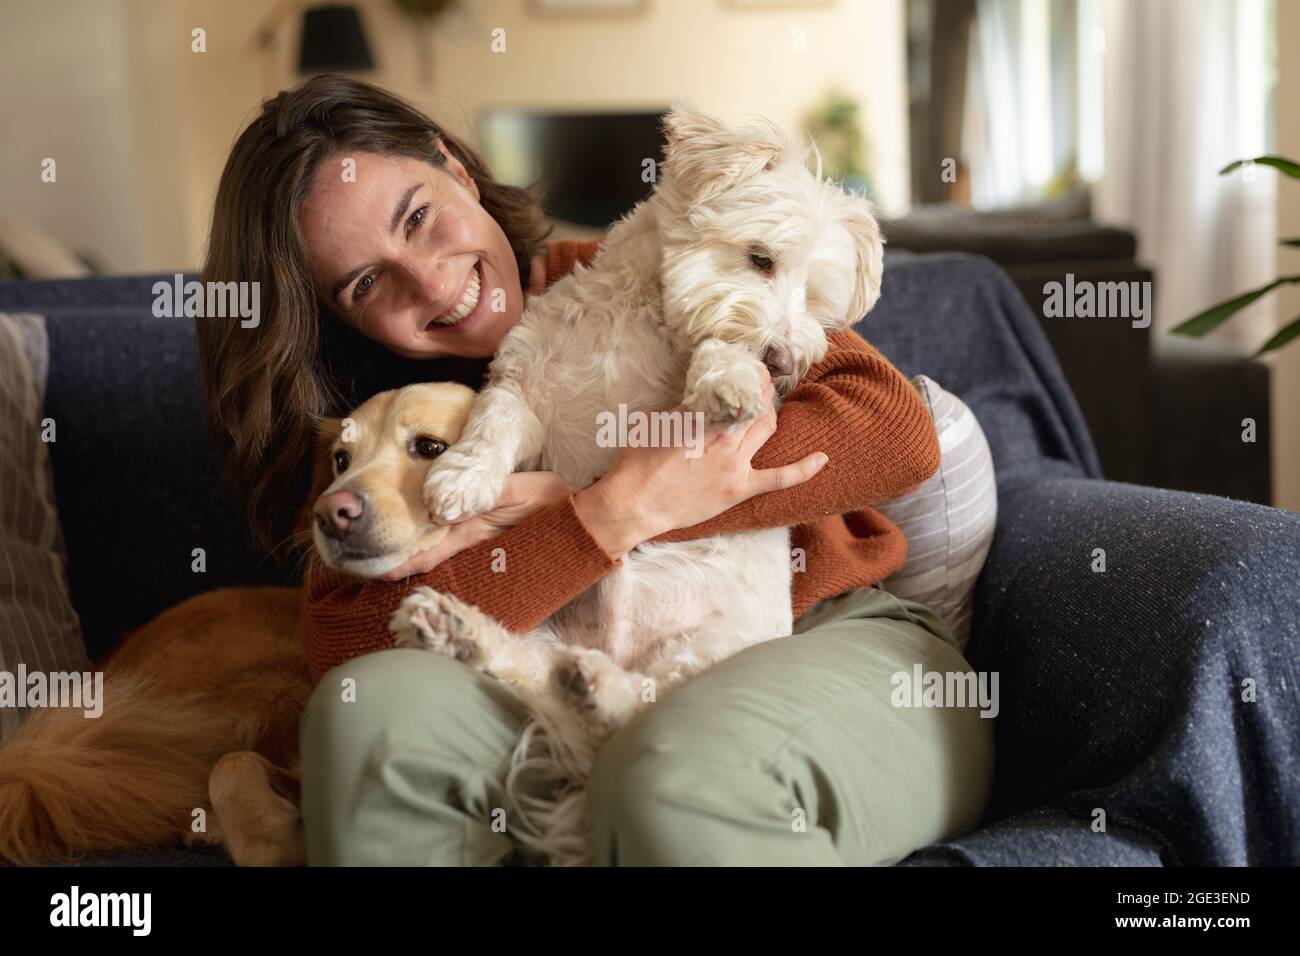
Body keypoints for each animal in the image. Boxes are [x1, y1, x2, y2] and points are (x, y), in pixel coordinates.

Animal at [384, 102, 883, 858]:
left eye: (818, 303)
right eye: (760, 258)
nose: (782, 361)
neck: (641, 320)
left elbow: (711, 359)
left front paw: (734, 380)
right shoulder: (524, 386)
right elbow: (493, 427)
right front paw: (462, 480)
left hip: (708, 649)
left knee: (637, 706)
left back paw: (594, 684)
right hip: (554, 634)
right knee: (533, 670)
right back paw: (462, 632)